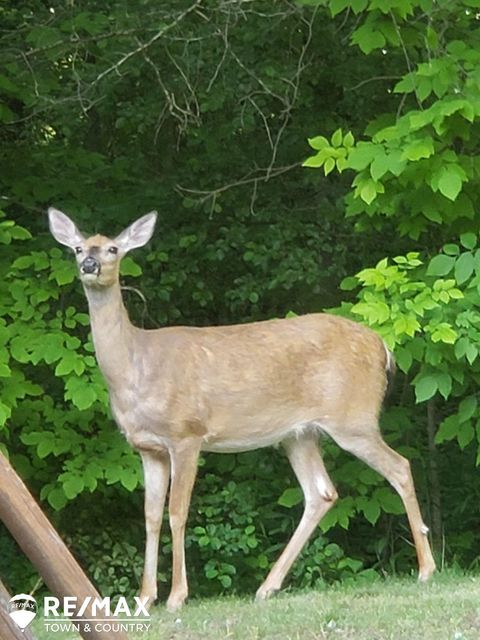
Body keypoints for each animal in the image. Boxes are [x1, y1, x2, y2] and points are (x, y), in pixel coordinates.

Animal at [47, 209, 436, 608]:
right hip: (299, 434)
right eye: (78, 247)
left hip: (353, 418)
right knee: (321, 493)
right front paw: (144, 597)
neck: (134, 368)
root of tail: (382, 347)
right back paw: (267, 586)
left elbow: (177, 512)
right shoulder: (147, 447)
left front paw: (177, 596)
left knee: (400, 467)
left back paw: (426, 569)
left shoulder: (187, 434)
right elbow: (151, 516)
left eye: (113, 248)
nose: (90, 265)